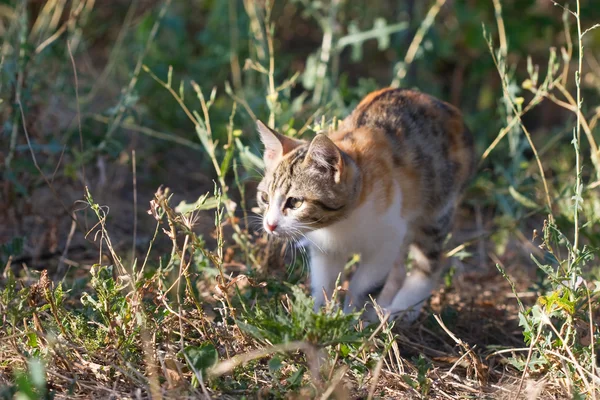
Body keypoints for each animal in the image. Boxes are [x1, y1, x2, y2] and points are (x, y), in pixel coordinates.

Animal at [255, 87, 476, 322]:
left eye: (295, 202)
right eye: (265, 198)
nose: (270, 225)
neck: (340, 223)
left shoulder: (387, 238)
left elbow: (364, 286)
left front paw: (353, 319)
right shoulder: (325, 247)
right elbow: (324, 282)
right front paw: (323, 315)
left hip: (436, 208)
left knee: (429, 262)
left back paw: (403, 309)